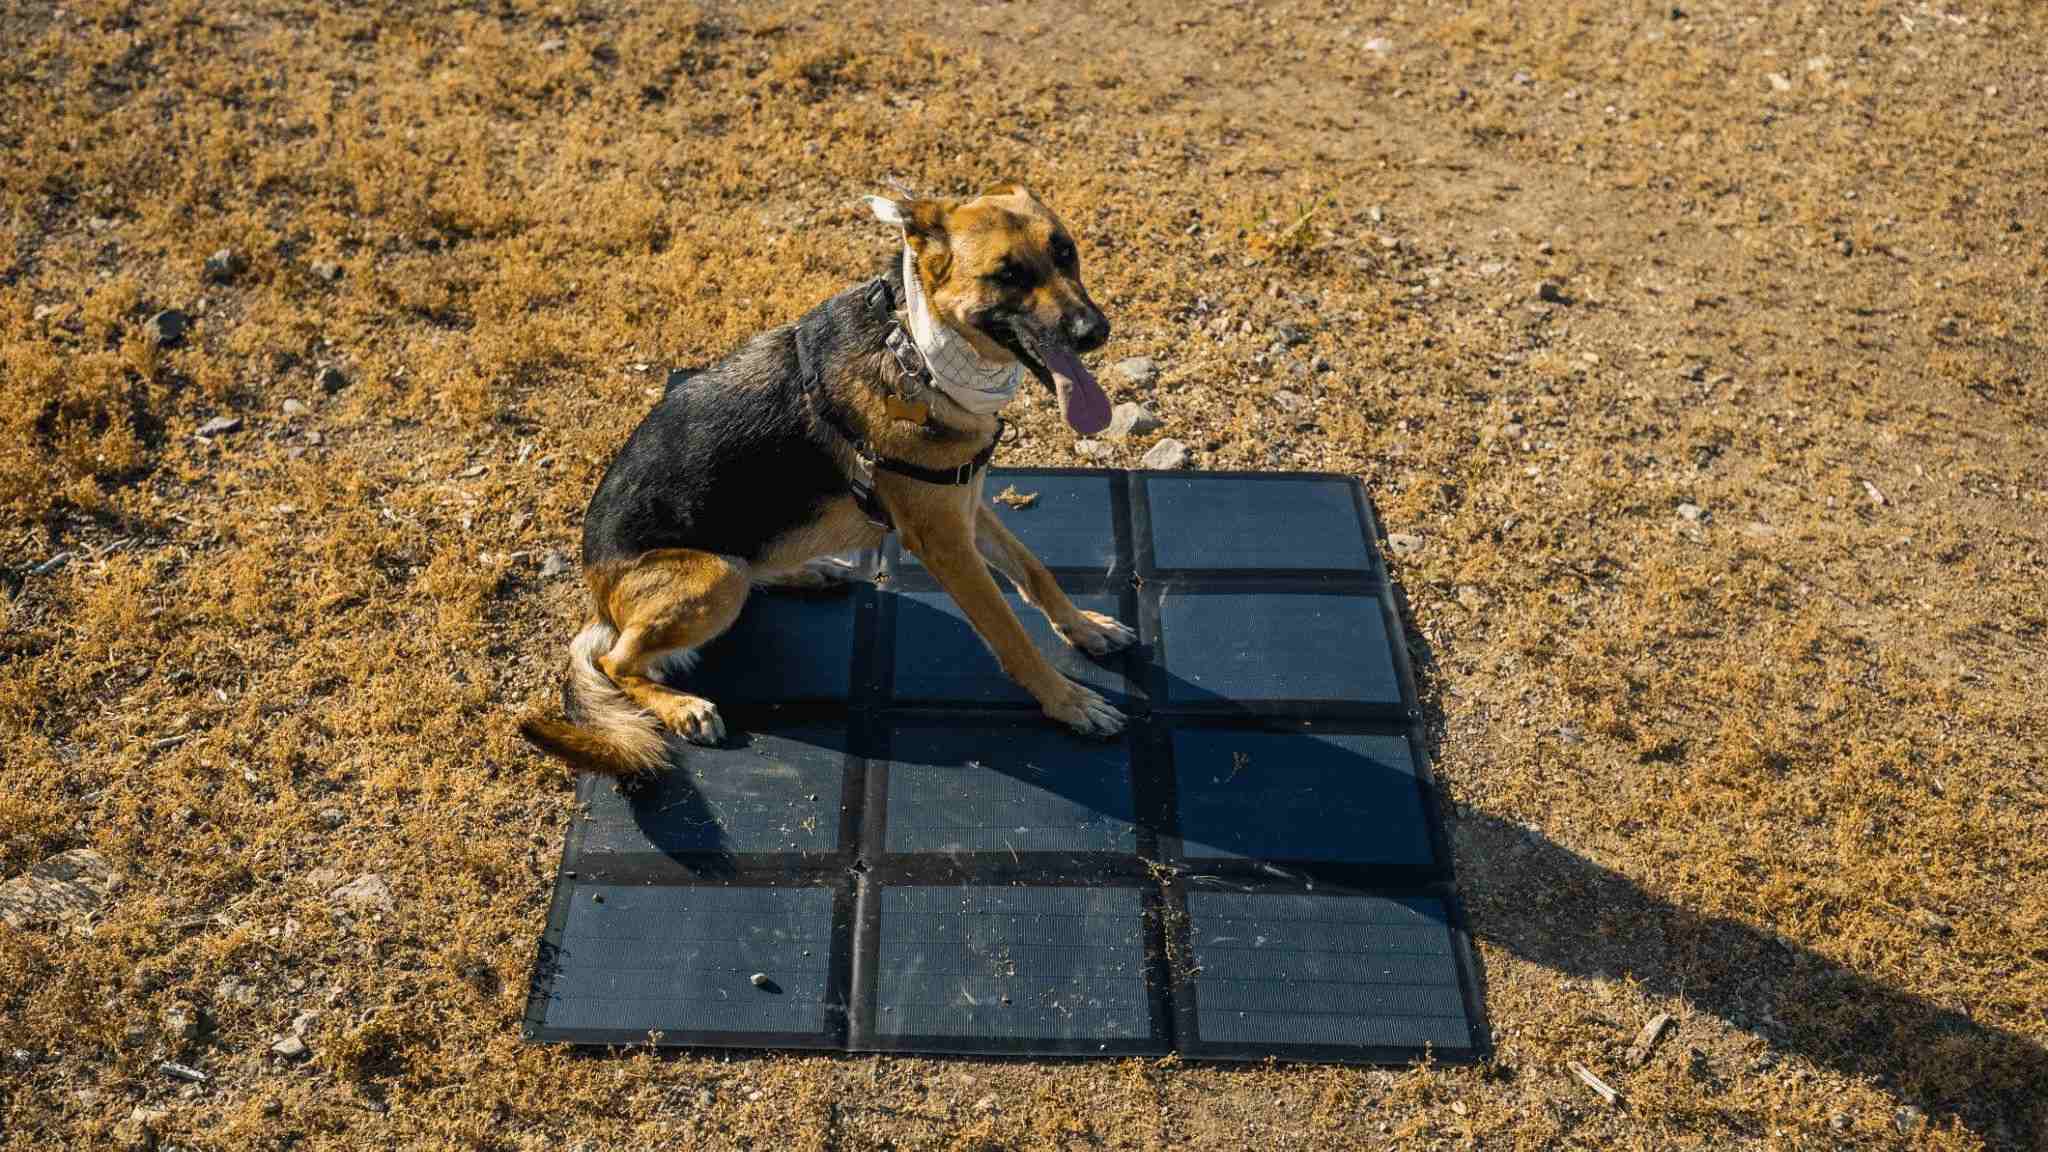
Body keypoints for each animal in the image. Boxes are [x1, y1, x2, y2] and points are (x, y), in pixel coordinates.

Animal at [520, 183, 1138, 774]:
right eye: (1007, 275)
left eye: (1066, 251)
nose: (1096, 331)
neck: (916, 350)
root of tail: (598, 594)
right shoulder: (944, 541)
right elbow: (1009, 630)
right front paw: (1068, 701)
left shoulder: (963, 504)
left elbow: (1034, 570)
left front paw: (1084, 627)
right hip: (715, 576)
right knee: (617, 661)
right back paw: (682, 707)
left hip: (737, 566)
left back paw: (807, 570)